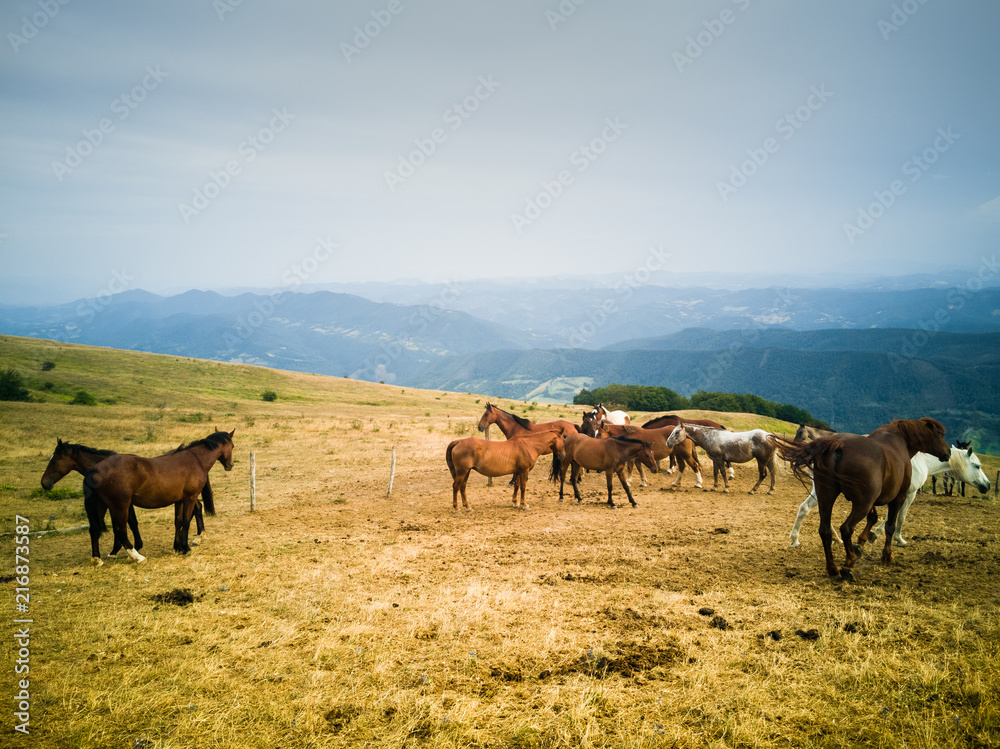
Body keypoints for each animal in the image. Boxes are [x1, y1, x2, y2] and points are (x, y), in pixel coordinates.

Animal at [40, 439, 208, 555]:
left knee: (197, 508)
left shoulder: (123, 504)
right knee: (197, 508)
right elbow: (124, 524)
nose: (44, 483)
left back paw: (199, 536)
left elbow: (128, 523)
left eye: (54, 460)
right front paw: (123, 548)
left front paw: (128, 547)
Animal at [84, 430, 234, 566]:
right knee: (120, 531)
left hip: (103, 505)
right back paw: (137, 557)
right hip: (120, 506)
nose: (230, 465)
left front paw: (178, 547)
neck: (195, 460)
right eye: (232, 446)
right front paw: (185, 548)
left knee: (94, 529)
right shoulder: (189, 499)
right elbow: (186, 522)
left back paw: (97, 559)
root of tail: (96, 469)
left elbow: (178, 522)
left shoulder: (179, 500)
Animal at [771, 418, 950, 581]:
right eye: (941, 434)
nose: (948, 453)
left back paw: (832, 567)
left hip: (827, 497)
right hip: (861, 504)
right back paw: (848, 564)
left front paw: (861, 543)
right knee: (845, 528)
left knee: (823, 529)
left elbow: (873, 518)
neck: (899, 444)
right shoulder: (898, 498)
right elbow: (890, 525)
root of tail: (838, 445)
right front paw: (886, 555)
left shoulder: (872, 501)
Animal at [788, 443, 991, 548]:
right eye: (977, 466)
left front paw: (873, 534)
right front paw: (896, 539)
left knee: (807, 509)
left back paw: (799, 540)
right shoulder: (908, 495)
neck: (921, 460)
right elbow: (899, 517)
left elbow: (891, 517)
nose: (988, 485)